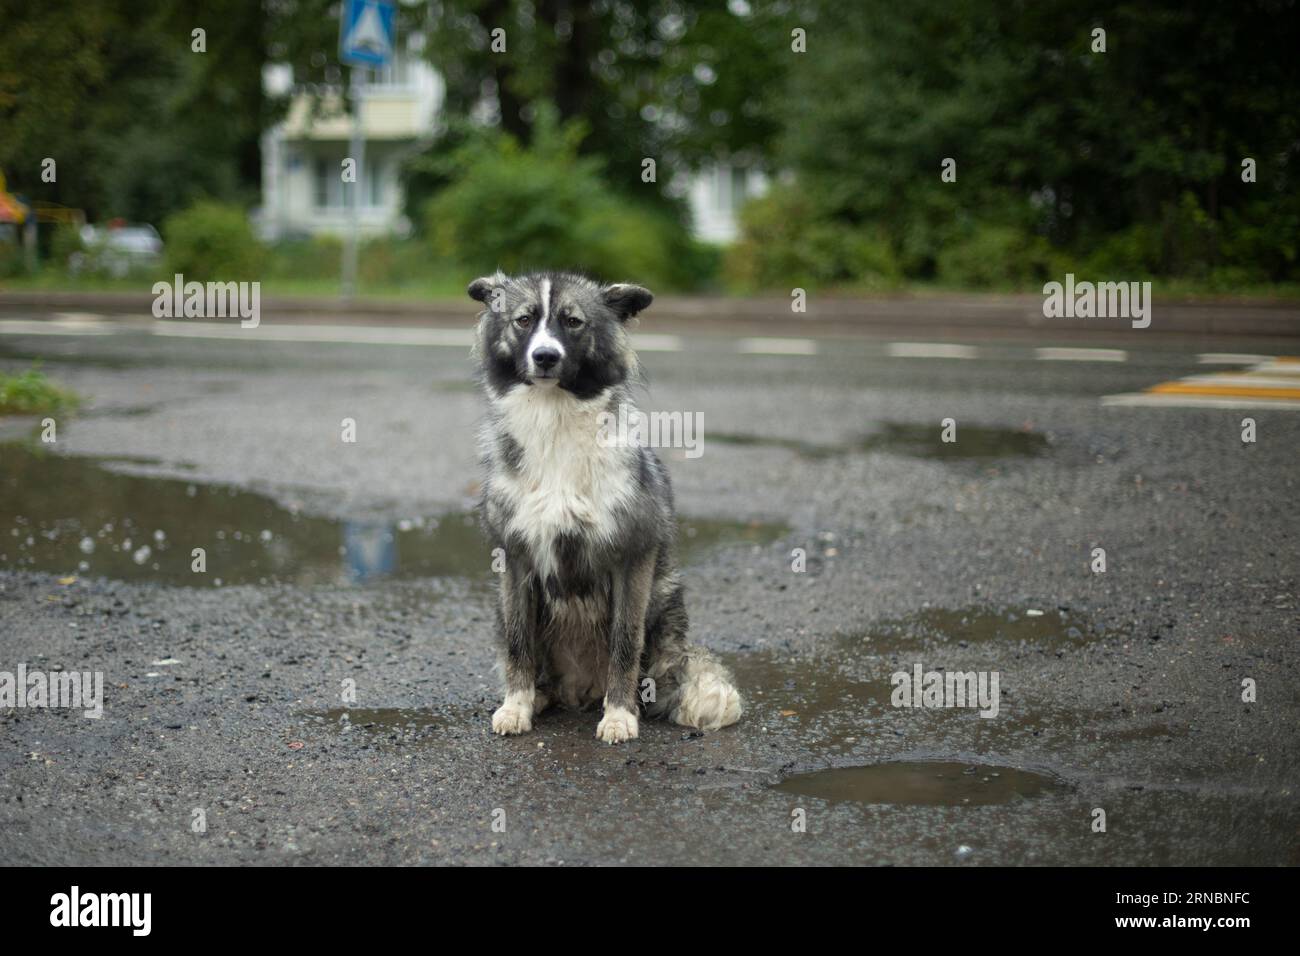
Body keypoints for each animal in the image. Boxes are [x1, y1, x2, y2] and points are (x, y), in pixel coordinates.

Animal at [473, 273, 748, 743]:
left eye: (573, 322)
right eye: (523, 319)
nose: (545, 356)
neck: (555, 420)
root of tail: (579, 690)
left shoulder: (632, 558)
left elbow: (624, 644)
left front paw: (619, 716)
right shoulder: (515, 557)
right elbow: (518, 643)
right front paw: (516, 706)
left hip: (663, 606)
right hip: (501, 605)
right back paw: (539, 697)